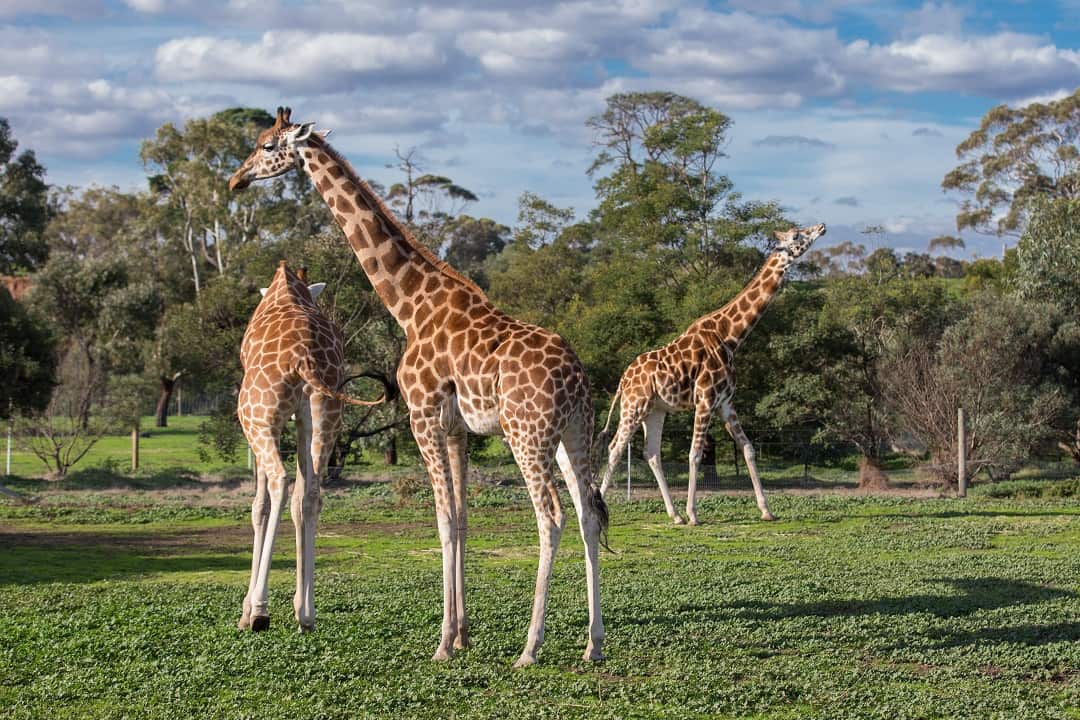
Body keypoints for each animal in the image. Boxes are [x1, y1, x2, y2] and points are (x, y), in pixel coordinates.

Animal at [237, 260, 383, 633]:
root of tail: (304, 359)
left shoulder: (268, 422)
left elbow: (259, 506)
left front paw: (246, 610)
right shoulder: (303, 418)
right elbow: (301, 499)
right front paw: (298, 606)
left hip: (256, 416)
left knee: (280, 481)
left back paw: (259, 611)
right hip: (326, 409)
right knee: (312, 494)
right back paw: (306, 613)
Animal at [598, 223, 826, 525]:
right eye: (797, 235)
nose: (821, 227)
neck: (730, 336)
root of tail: (623, 380)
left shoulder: (725, 402)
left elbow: (748, 448)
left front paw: (766, 510)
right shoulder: (705, 399)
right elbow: (695, 454)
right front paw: (693, 514)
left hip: (655, 410)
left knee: (652, 453)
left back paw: (674, 516)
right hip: (634, 406)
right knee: (615, 448)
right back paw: (601, 506)